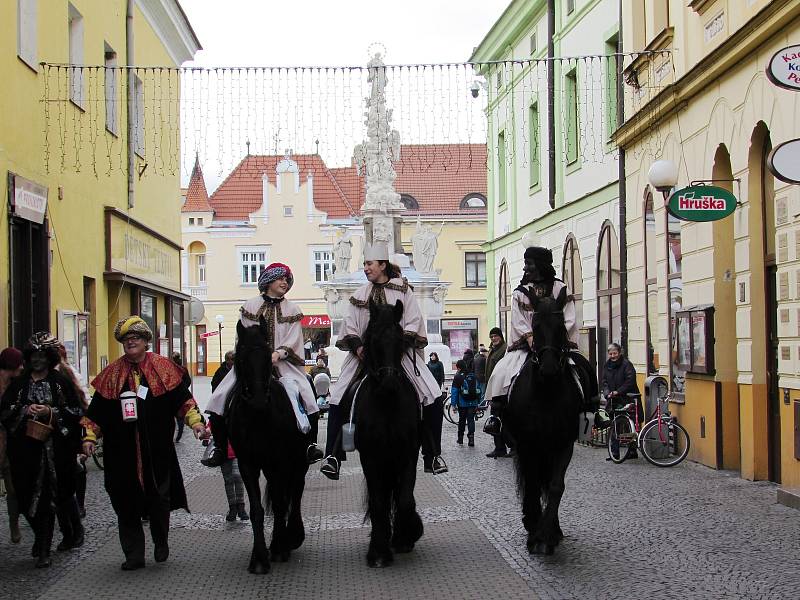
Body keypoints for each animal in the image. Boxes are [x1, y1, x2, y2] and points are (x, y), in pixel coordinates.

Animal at [228, 322, 312, 576]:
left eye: (267, 356)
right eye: (241, 357)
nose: (257, 400)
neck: (258, 419)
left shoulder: (279, 462)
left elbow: (280, 502)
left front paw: (278, 548)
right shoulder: (248, 465)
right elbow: (257, 509)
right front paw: (258, 558)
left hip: (298, 462)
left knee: (295, 491)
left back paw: (292, 536)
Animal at [346, 300, 428, 568]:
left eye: (400, 338)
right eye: (372, 338)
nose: (389, 382)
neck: (387, 403)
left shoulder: (408, 455)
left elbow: (404, 499)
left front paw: (405, 535)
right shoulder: (371, 458)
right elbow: (378, 501)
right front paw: (379, 551)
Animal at [506, 288, 580, 556]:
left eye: (561, 326)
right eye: (535, 325)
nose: (548, 369)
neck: (546, 393)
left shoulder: (563, 444)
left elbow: (556, 486)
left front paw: (548, 534)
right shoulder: (528, 444)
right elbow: (533, 483)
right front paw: (535, 533)